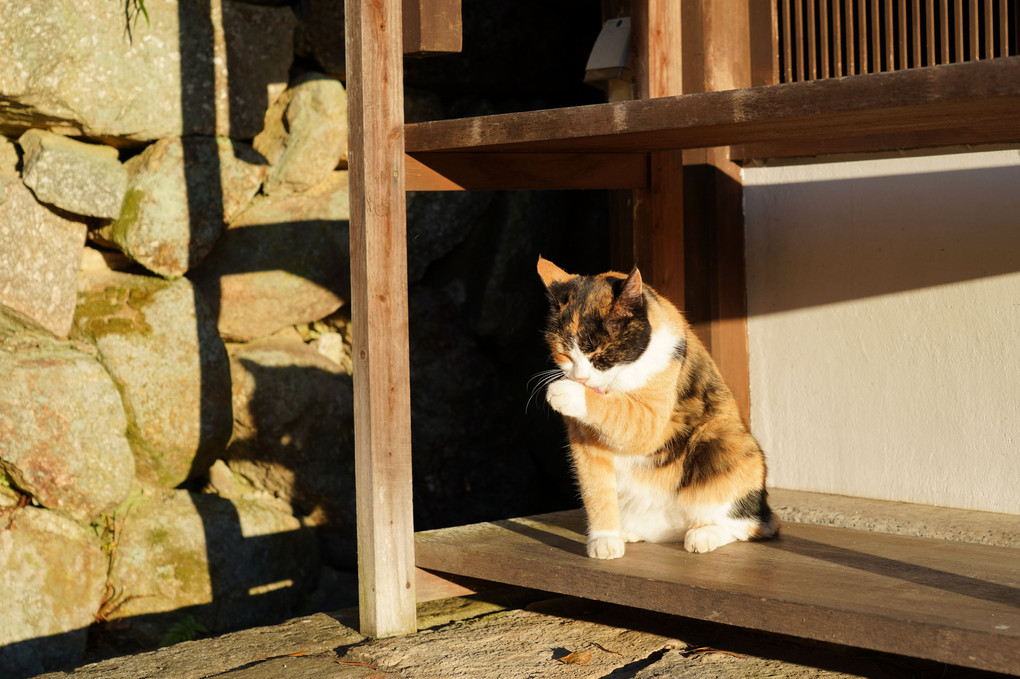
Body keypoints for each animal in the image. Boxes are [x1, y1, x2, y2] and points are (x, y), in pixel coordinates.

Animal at [538, 256, 775, 558]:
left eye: (599, 352)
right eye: (563, 352)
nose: (579, 378)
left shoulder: (654, 413)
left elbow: (627, 416)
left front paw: (564, 392)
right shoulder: (585, 442)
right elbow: (596, 488)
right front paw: (605, 540)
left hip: (725, 441)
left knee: (751, 526)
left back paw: (703, 534)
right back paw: (630, 532)